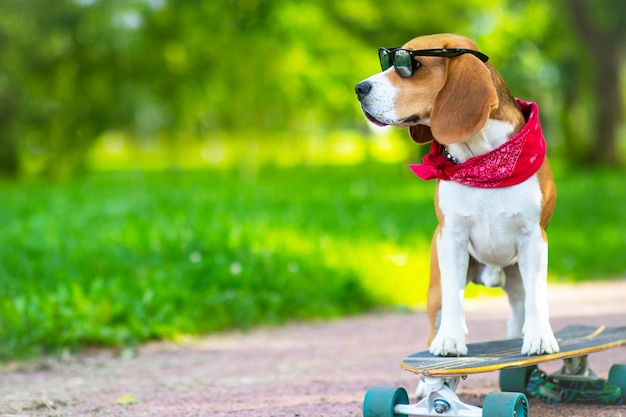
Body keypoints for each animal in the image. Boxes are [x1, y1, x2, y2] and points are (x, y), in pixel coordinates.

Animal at [354, 34, 560, 356]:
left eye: (410, 66)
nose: (359, 88)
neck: (482, 162)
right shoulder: (451, 239)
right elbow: (454, 297)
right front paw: (450, 339)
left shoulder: (534, 239)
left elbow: (537, 297)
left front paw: (540, 337)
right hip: (436, 287)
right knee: (440, 315)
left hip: (516, 279)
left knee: (520, 310)